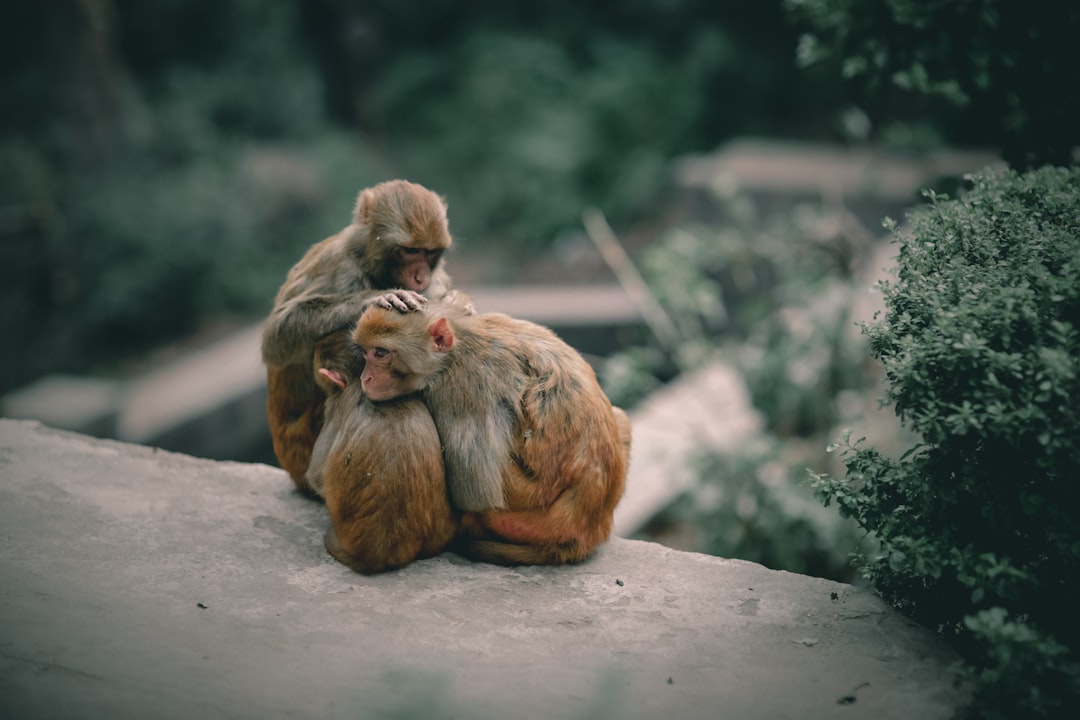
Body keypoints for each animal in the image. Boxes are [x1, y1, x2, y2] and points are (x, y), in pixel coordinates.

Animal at [262, 177, 455, 492]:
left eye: (428, 252)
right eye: (409, 251)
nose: (420, 276)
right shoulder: (340, 266)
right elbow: (276, 337)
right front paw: (376, 297)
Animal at [352, 295, 630, 565]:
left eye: (381, 353)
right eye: (366, 353)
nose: (365, 378)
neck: (459, 344)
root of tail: (590, 527)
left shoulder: (462, 388)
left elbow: (476, 493)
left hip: (524, 513)